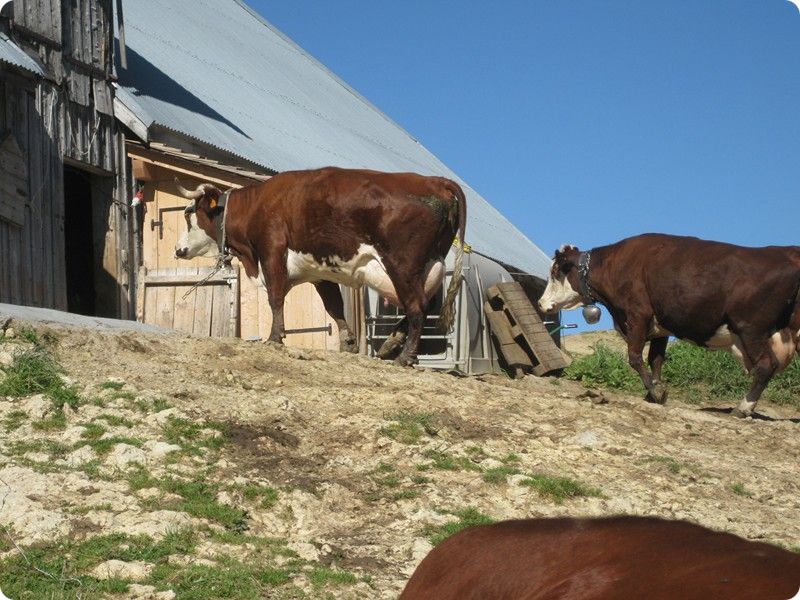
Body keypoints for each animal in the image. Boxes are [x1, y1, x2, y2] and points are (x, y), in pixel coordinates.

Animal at [172, 166, 466, 368]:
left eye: (189, 215)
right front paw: (348, 342)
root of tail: (433, 180)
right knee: (423, 304)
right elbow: (334, 306)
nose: (178, 250)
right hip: (429, 264)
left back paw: (405, 356)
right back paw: (391, 343)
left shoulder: (272, 252)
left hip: (402, 265)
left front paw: (275, 337)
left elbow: (275, 297)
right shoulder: (319, 273)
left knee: (417, 306)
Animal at [536, 234, 800, 418]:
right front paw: (653, 390)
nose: (541, 303)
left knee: (765, 365)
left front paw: (655, 392)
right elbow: (656, 360)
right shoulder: (660, 326)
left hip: (750, 329)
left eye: (555, 271)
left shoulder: (638, 315)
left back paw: (742, 408)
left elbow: (635, 357)